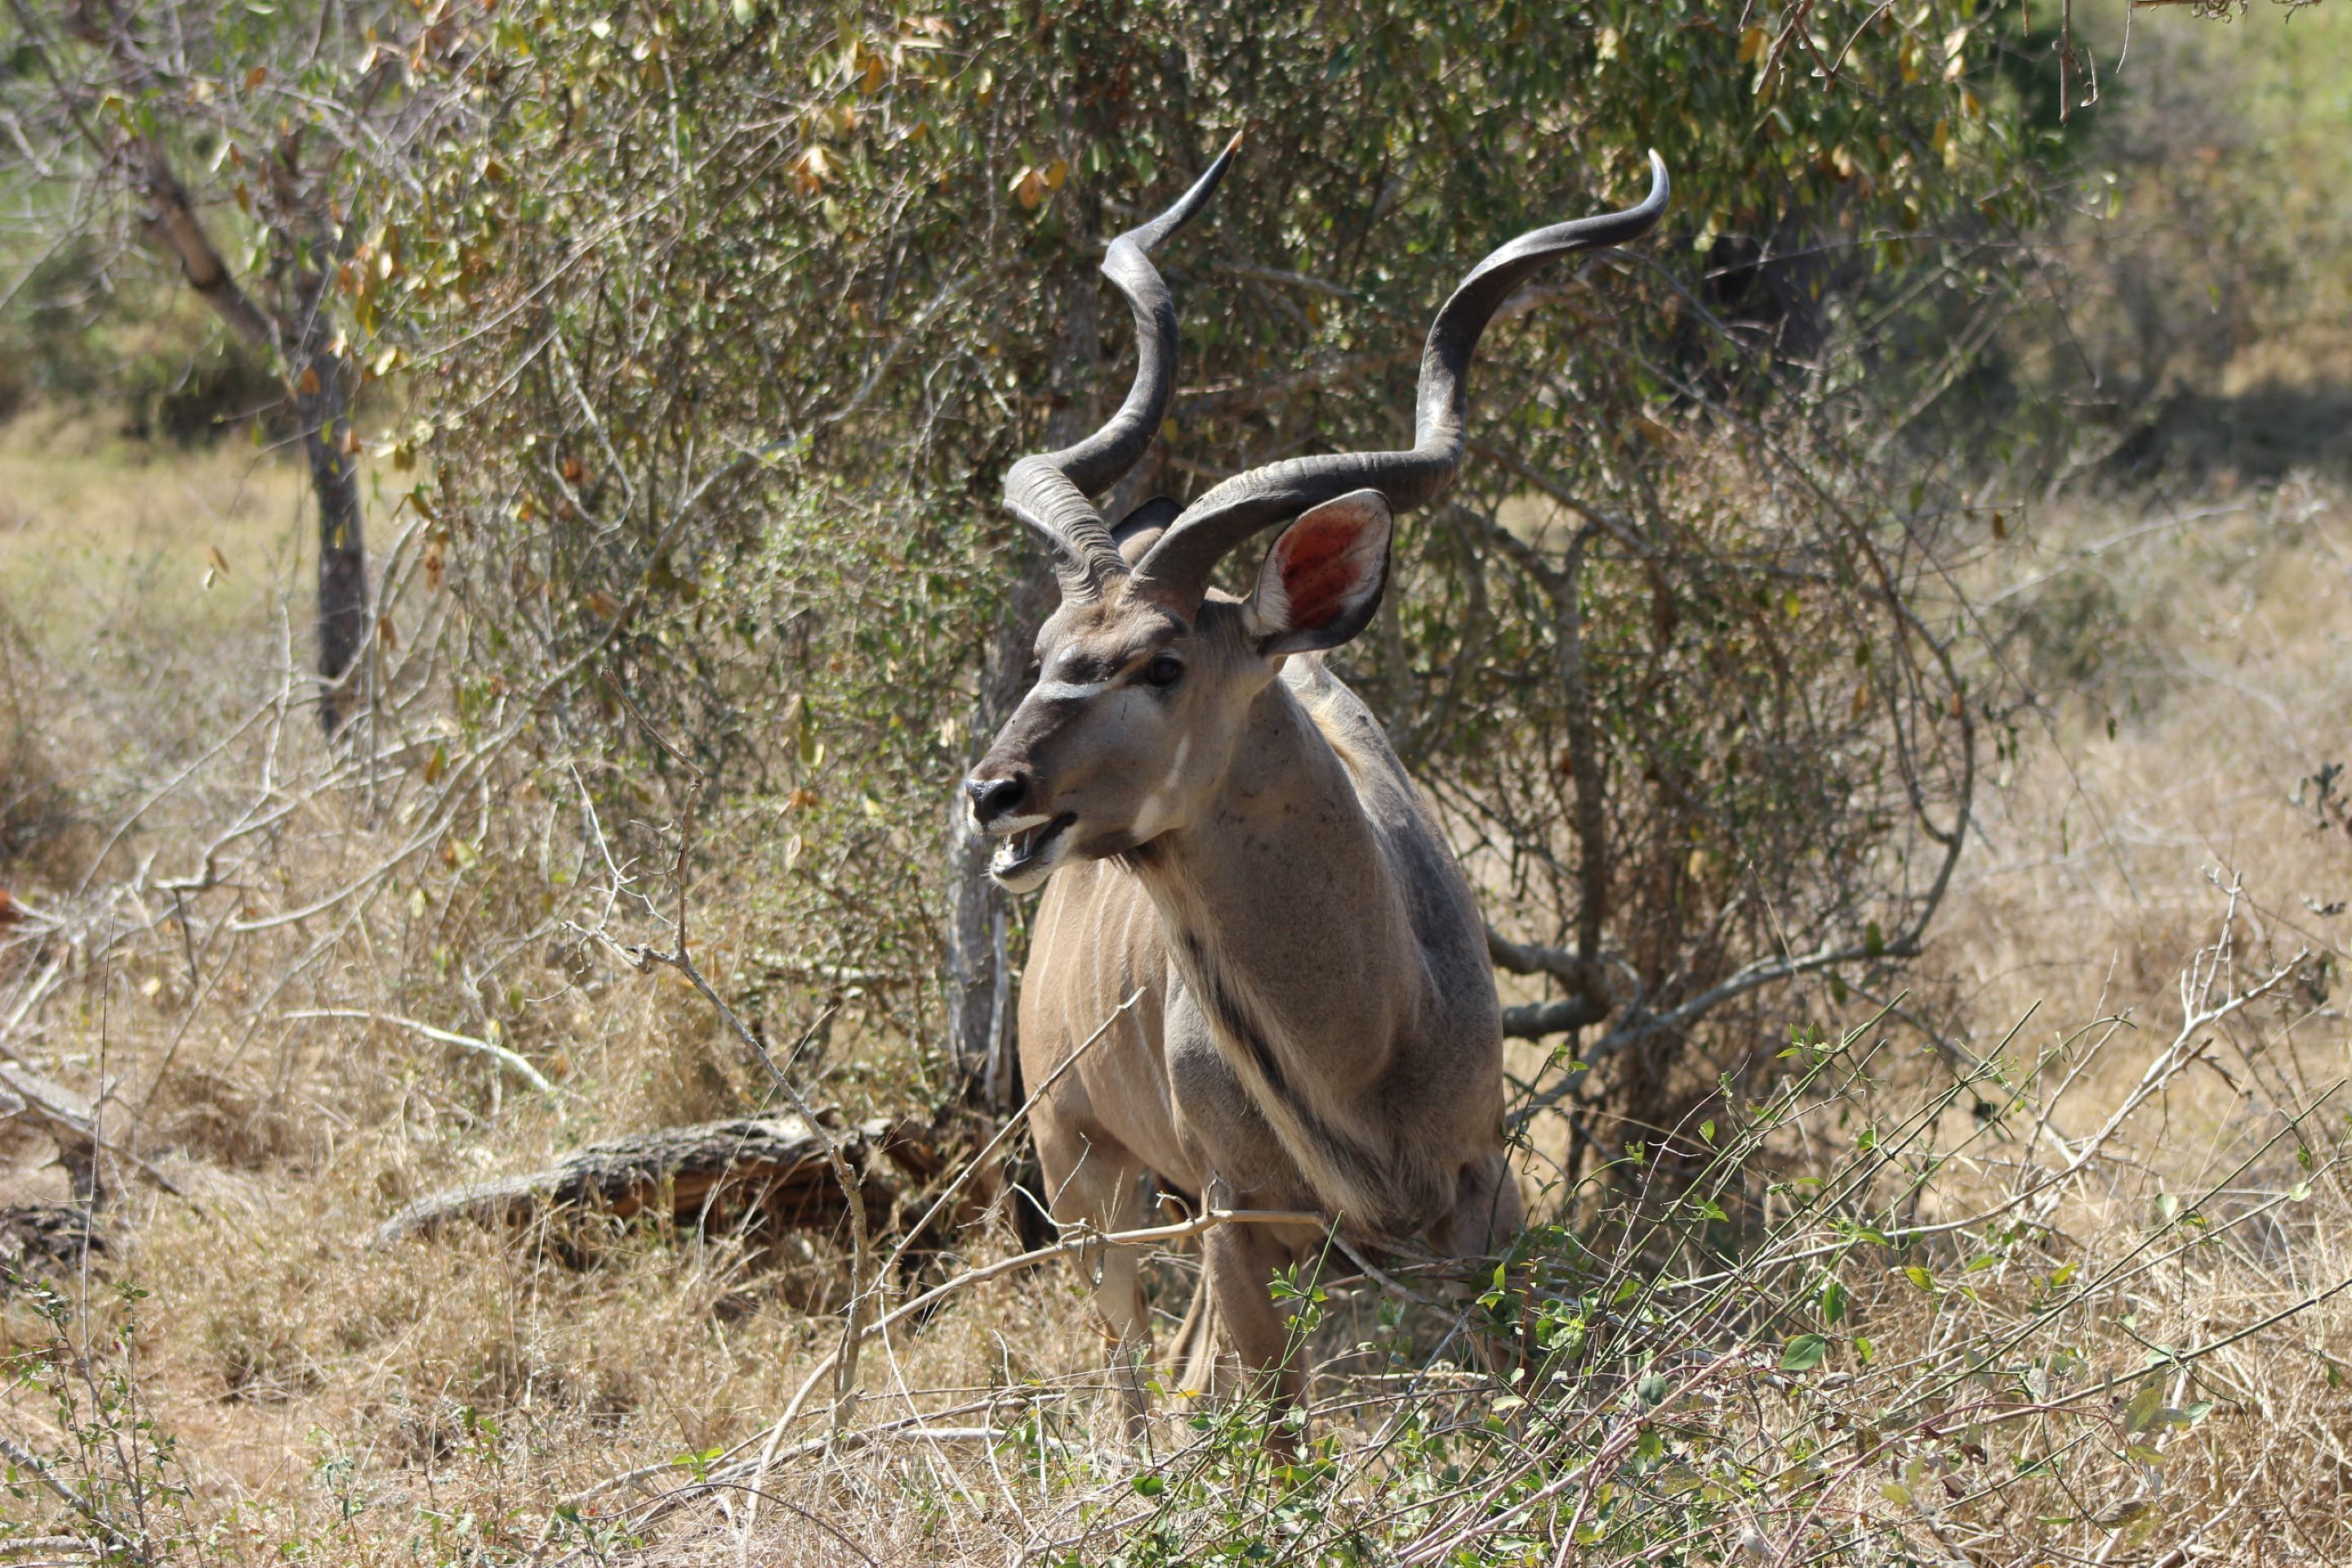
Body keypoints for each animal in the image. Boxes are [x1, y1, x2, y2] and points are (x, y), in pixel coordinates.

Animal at [965, 140, 1669, 1423]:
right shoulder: (1237, 1223)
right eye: (1044, 654)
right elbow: (1275, 1425)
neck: (1369, 1029)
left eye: (1163, 661)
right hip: (1087, 1181)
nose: (996, 791)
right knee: (1131, 1387)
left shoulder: (1484, 1195)